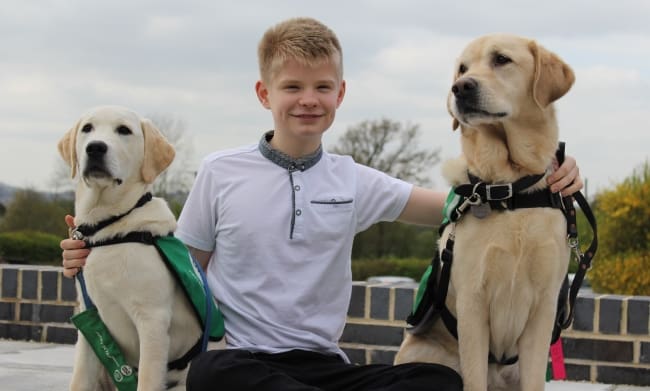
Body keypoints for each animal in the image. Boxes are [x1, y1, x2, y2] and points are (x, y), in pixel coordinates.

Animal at [59, 105, 204, 390]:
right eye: (87, 128)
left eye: (124, 130)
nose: (95, 148)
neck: (109, 225)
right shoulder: (89, 322)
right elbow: (79, 380)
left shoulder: (153, 321)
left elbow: (147, 380)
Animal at [394, 33, 572, 391]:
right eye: (462, 68)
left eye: (501, 59)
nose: (460, 88)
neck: (510, 188)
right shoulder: (472, 302)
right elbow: (474, 377)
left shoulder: (544, 308)